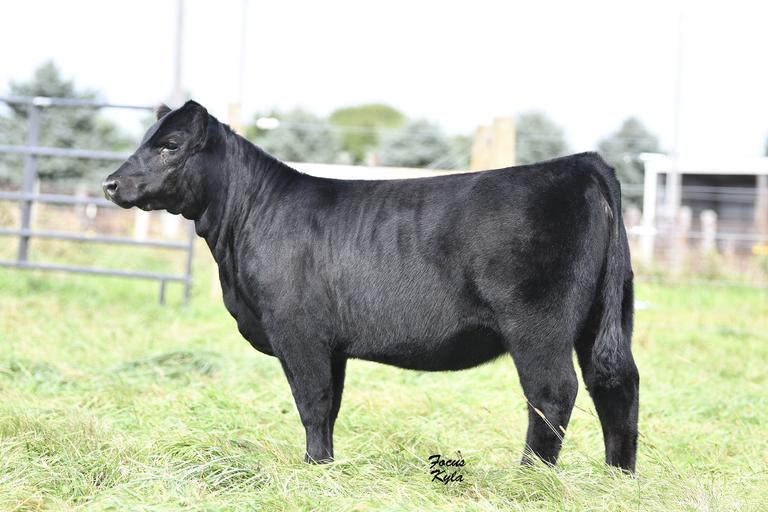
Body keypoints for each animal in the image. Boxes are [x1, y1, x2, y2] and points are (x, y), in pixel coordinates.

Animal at [103, 101, 639, 473]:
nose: (110, 184)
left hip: (538, 326)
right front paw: (326, 465)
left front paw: (313, 468)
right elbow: (331, 407)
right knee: (616, 384)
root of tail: (581, 163)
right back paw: (618, 476)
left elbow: (313, 402)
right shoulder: (332, 345)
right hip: (605, 317)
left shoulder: (298, 331)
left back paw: (530, 477)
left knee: (552, 394)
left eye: (171, 145)